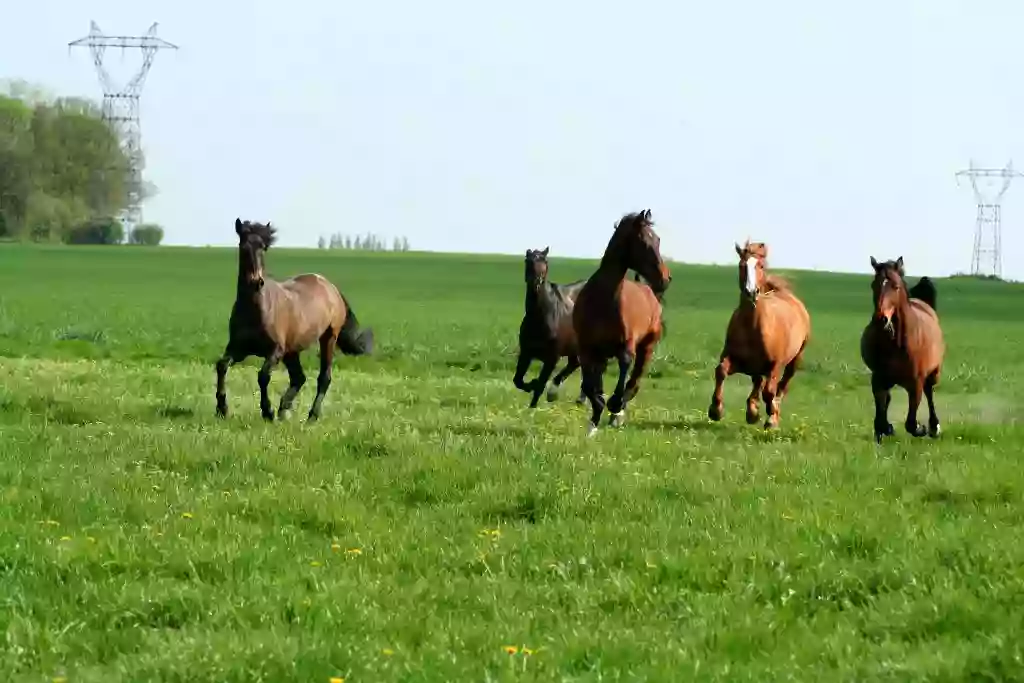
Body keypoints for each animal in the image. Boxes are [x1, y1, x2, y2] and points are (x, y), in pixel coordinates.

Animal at [214, 219, 374, 421]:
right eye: (243, 246)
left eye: (263, 247)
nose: (256, 282)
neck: (257, 308)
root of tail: (331, 287)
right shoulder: (238, 349)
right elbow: (221, 366)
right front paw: (222, 408)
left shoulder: (275, 350)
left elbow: (263, 376)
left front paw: (267, 411)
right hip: (292, 350)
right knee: (299, 377)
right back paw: (284, 410)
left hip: (328, 338)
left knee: (324, 377)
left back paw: (311, 416)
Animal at [509, 248, 585, 409]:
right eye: (528, 260)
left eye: (545, 261)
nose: (536, 282)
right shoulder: (526, 353)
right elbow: (518, 380)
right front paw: (531, 385)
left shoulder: (552, 358)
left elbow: (540, 384)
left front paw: (532, 407)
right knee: (575, 364)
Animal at [569, 205, 671, 438]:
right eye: (645, 241)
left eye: (658, 239)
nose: (665, 278)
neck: (603, 300)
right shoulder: (586, 349)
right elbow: (590, 386)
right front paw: (594, 420)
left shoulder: (627, 344)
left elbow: (624, 365)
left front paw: (614, 405)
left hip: (647, 347)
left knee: (634, 381)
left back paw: (618, 412)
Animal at [708, 242, 811, 430]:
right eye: (741, 265)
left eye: (761, 265)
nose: (751, 292)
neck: (753, 326)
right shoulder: (734, 358)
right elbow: (721, 371)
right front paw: (715, 410)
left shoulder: (774, 365)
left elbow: (769, 392)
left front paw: (771, 417)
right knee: (758, 381)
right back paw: (752, 411)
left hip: (795, 359)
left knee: (781, 386)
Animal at [856, 255, 942, 444]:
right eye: (873, 285)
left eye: (895, 286)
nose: (880, 319)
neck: (897, 344)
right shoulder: (878, 378)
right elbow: (881, 413)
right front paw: (885, 429)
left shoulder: (916, 383)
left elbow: (910, 422)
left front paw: (921, 428)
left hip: (933, 374)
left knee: (930, 393)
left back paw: (934, 427)